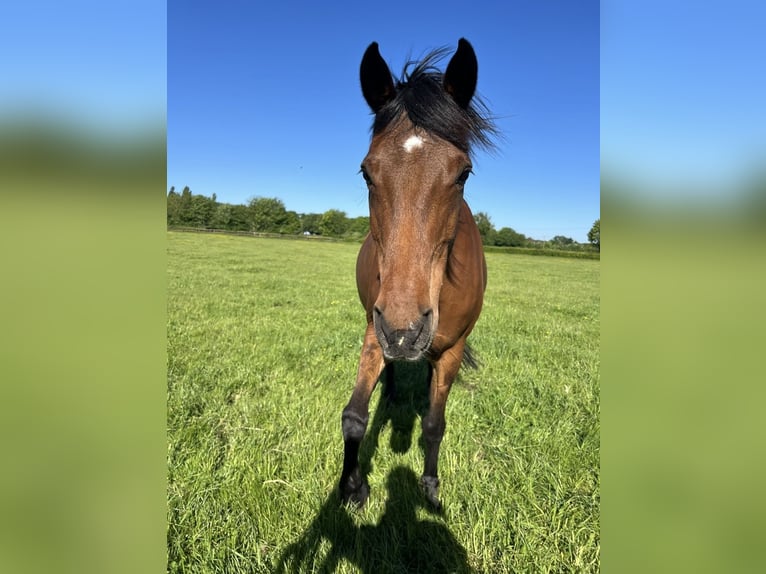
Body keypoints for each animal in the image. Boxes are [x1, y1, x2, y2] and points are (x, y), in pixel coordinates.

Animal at [339, 38, 497, 510]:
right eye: (366, 172)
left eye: (464, 173)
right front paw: (351, 487)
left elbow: (433, 424)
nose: (404, 330)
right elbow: (354, 417)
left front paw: (429, 487)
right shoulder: (374, 329)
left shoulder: (450, 350)